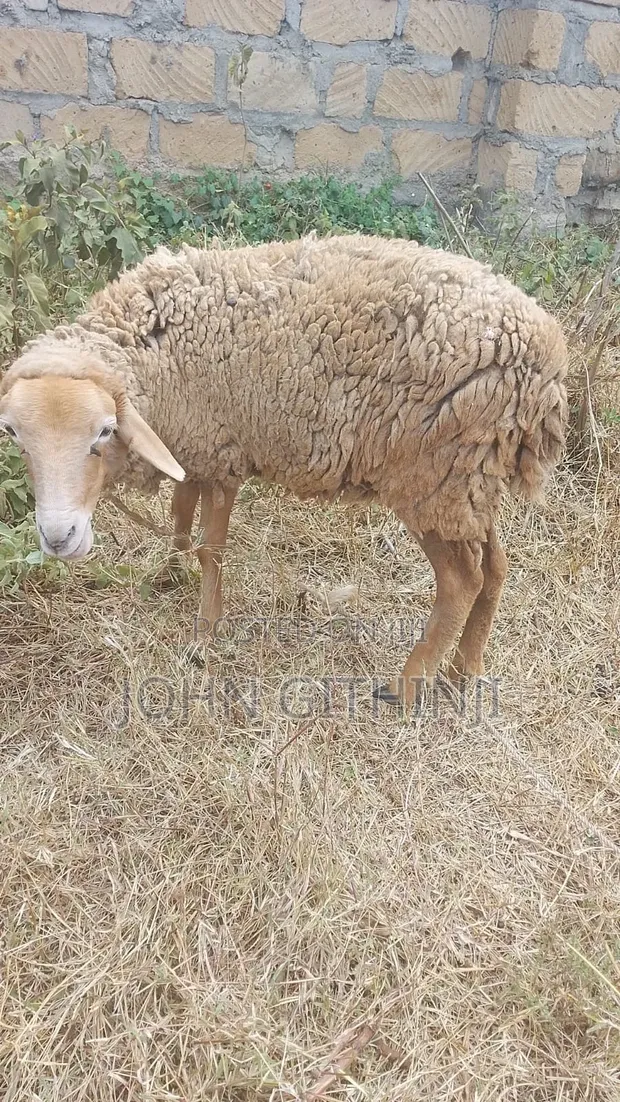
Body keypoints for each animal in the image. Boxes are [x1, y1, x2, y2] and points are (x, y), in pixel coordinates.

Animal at [0, 232, 568, 705]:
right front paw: (169, 573)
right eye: (14, 434)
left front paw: (204, 636)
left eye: (103, 431)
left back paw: (408, 686)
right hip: (469, 480)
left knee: (461, 581)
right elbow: (181, 515)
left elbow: (211, 549)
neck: (155, 353)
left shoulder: (223, 454)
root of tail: (545, 362)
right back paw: (463, 671)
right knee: (495, 566)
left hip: (428, 477)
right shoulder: (194, 446)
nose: (58, 537)